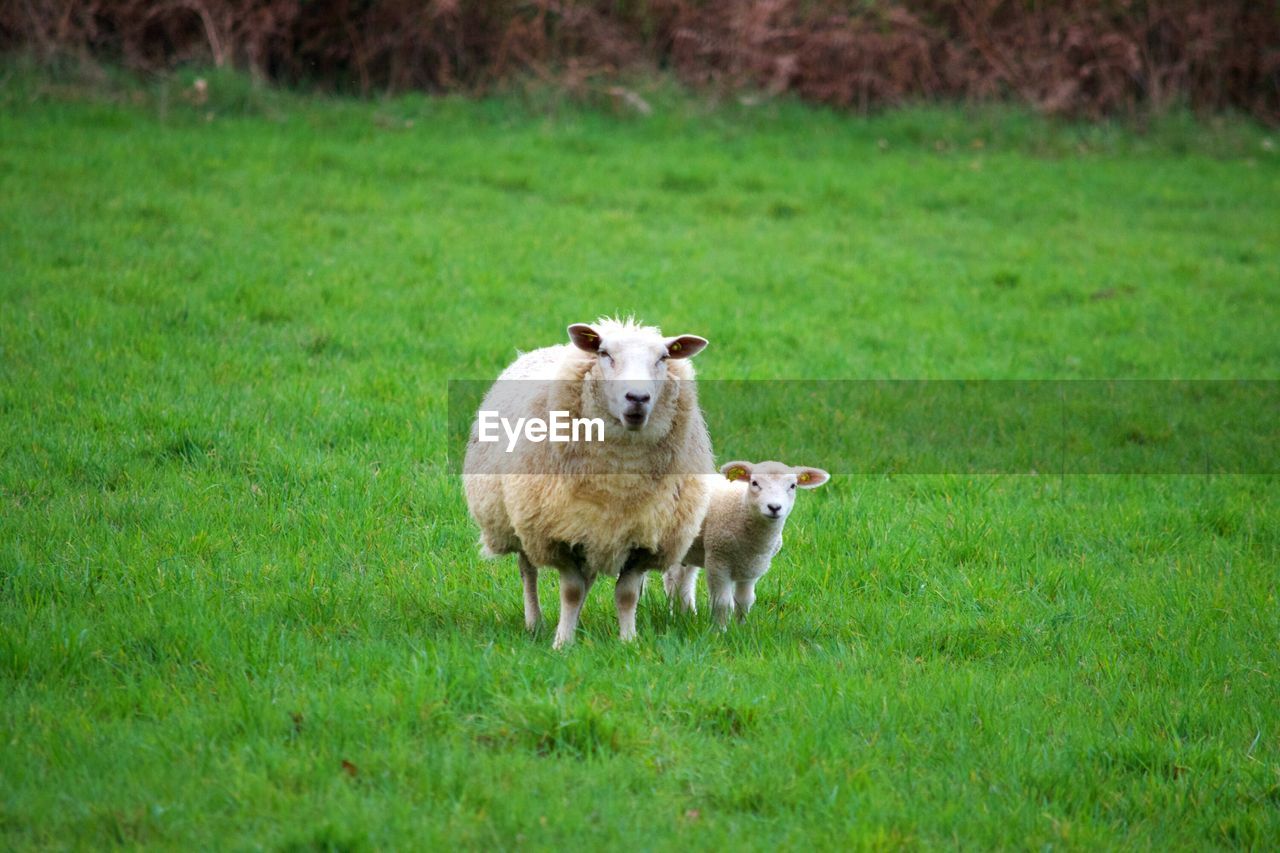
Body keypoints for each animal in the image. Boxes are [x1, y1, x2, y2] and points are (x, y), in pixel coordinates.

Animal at [463, 317, 721, 645]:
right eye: (604, 353)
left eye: (663, 358)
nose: (638, 398)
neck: (619, 483)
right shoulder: (557, 536)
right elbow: (571, 592)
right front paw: (563, 642)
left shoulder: (644, 538)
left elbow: (626, 595)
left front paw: (628, 641)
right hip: (521, 523)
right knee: (528, 571)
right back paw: (534, 622)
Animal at [660, 458, 829, 625]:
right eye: (754, 483)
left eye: (793, 486)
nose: (774, 507)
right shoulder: (717, 560)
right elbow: (722, 602)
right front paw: (719, 630)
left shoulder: (752, 567)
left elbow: (744, 601)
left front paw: (740, 627)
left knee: (682, 580)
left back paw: (686, 615)